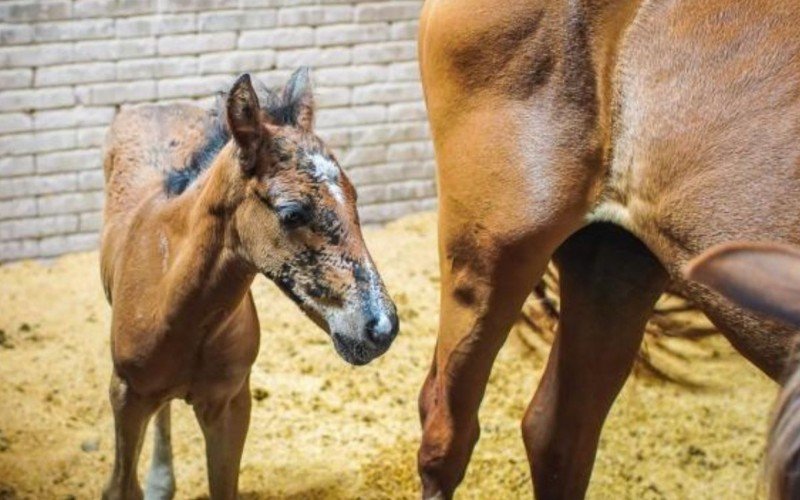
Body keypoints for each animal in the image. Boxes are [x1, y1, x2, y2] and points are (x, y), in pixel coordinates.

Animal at [100, 70, 400, 500]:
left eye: (354, 196)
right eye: (292, 213)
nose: (381, 328)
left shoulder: (230, 403)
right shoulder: (126, 395)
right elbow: (119, 487)